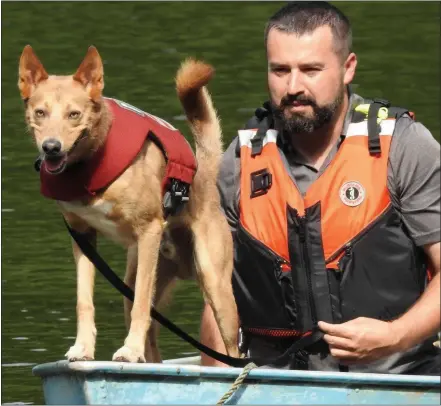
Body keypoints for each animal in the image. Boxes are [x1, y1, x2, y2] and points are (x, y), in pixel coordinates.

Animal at [18, 46, 237, 364]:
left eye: (74, 114)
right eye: (40, 113)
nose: (51, 147)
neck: (91, 164)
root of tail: (203, 175)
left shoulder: (149, 230)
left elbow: (141, 305)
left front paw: (129, 350)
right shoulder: (83, 237)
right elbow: (84, 301)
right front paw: (82, 348)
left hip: (216, 286)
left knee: (233, 351)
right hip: (133, 283)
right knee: (153, 345)